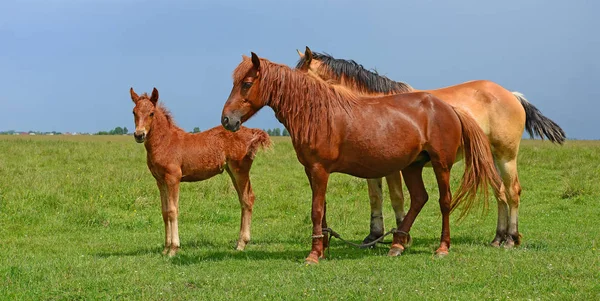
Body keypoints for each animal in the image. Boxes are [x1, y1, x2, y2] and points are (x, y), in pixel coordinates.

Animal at [133, 87, 272, 255]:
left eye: (151, 113)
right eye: (134, 112)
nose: (139, 135)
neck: (165, 142)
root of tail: (252, 132)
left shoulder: (173, 178)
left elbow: (173, 211)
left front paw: (173, 248)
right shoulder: (160, 181)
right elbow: (165, 212)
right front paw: (165, 249)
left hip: (240, 170)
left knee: (247, 199)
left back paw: (241, 244)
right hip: (232, 171)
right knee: (244, 200)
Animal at [220, 54, 502, 262]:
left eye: (246, 83)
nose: (226, 120)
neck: (318, 114)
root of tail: (449, 108)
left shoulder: (320, 170)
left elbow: (316, 210)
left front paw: (313, 254)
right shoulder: (311, 170)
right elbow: (322, 210)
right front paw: (323, 247)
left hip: (441, 165)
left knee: (444, 202)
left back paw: (442, 247)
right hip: (413, 166)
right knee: (419, 198)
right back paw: (397, 244)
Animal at [296, 47, 568, 247]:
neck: (372, 106)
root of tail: (512, 95)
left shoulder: (393, 167)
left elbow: (396, 198)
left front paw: (401, 235)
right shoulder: (372, 166)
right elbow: (376, 197)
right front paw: (374, 236)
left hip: (506, 156)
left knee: (512, 192)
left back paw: (511, 239)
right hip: (488, 157)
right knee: (500, 191)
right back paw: (498, 238)